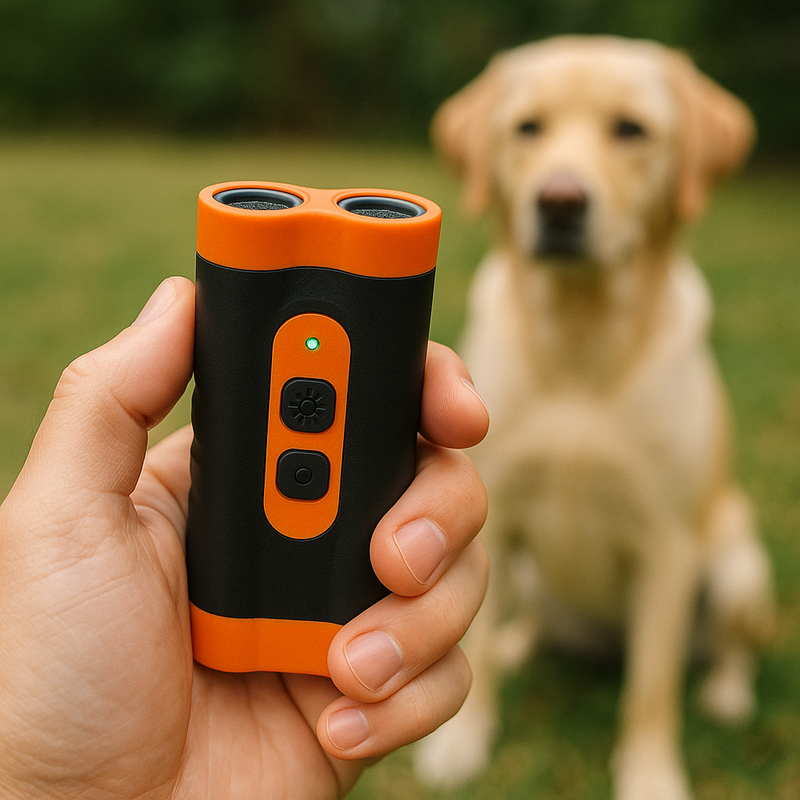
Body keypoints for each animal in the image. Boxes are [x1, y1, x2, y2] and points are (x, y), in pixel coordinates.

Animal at [415, 36, 775, 800]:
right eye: (527, 128)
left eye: (631, 131)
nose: (559, 200)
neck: (580, 339)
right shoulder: (494, 517)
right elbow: (476, 643)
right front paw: (461, 744)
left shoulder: (668, 545)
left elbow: (651, 691)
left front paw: (651, 779)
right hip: (530, 576)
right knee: (526, 625)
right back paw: (521, 647)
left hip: (737, 567)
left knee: (725, 651)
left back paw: (728, 694)